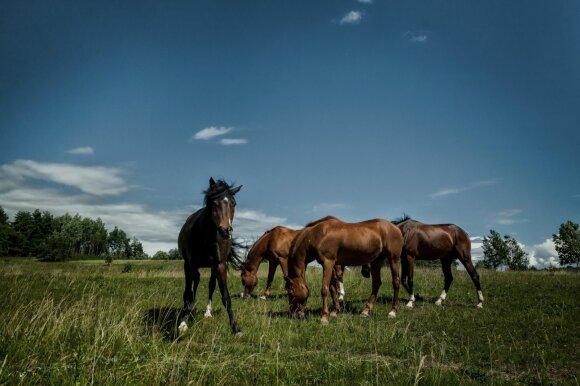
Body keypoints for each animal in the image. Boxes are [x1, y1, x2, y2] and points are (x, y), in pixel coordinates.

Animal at [176, 178, 241, 334]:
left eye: (233, 203)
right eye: (213, 203)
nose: (225, 231)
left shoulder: (220, 265)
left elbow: (225, 296)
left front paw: (235, 328)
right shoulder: (189, 264)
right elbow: (187, 293)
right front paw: (183, 323)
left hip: (212, 267)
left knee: (210, 285)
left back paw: (207, 312)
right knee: (195, 282)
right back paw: (190, 310)